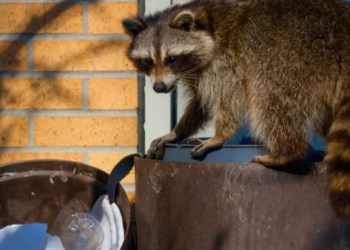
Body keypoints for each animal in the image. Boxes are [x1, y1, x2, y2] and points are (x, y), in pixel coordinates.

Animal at [123, 0, 350, 218]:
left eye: (171, 58)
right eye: (148, 61)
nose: (159, 87)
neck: (207, 26)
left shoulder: (224, 62)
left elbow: (227, 99)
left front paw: (220, 135)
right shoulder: (199, 72)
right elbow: (201, 103)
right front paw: (177, 132)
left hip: (294, 59)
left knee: (269, 98)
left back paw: (286, 152)